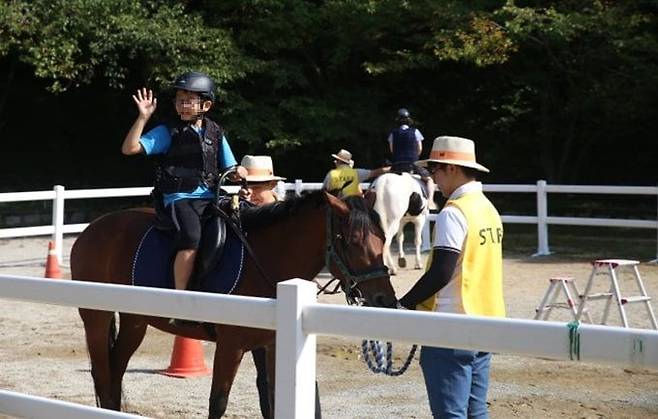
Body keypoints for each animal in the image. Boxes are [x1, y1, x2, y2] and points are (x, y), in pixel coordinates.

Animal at [70, 191, 394, 419]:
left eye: (383, 237)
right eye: (352, 240)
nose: (384, 299)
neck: (266, 258)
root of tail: (91, 230)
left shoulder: (270, 345)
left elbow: (271, 399)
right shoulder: (231, 345)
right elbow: (218, 403)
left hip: (135, 320)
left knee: (115, 372)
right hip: (96, 319)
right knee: (103, 374)